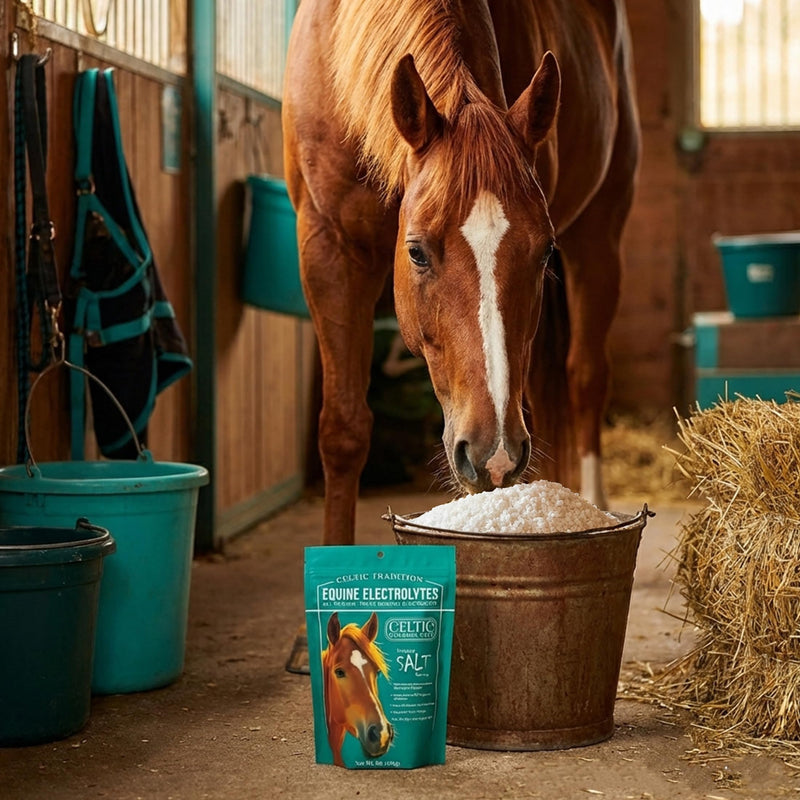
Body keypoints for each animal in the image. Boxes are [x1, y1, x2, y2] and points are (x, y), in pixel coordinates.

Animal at [283, 0, 640, 545]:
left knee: (585, 375)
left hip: (599, 236)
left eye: (544, 252)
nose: (493, 454)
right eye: (416, 253)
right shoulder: (328, 248)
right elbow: (343, 432)